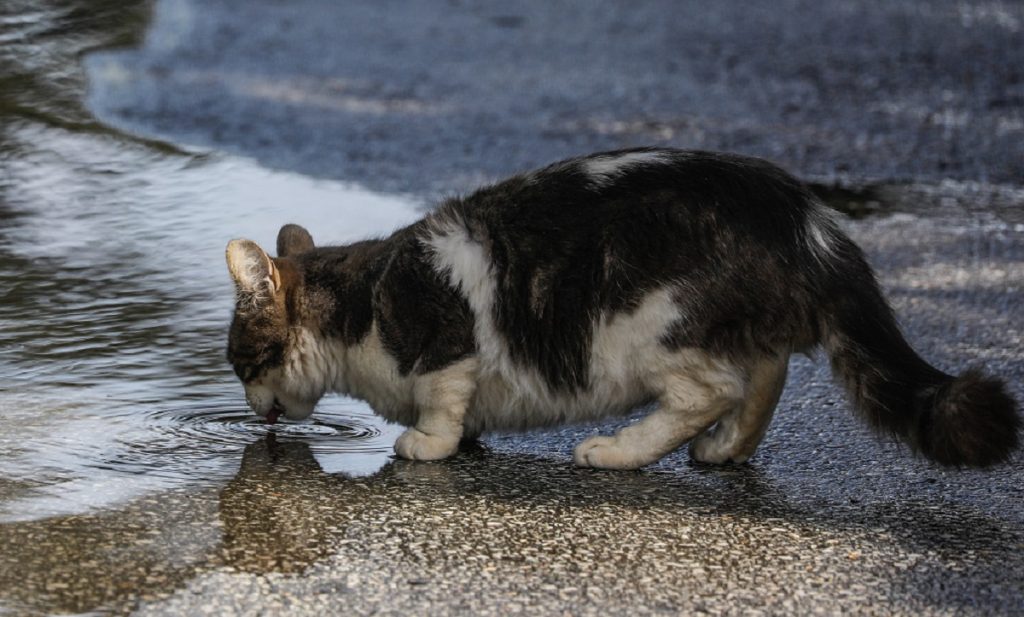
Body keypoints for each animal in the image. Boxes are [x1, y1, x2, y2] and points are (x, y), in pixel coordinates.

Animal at [222, 147, 1015, 470]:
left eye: (240, 364)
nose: (253, 410)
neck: (361, 301)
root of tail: (804, 218)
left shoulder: (447, 343)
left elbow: (443, 404)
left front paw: (428, 443)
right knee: (767, 373)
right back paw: (726, 450)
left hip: (647, 326)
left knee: (714, 389)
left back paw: (617, 451)